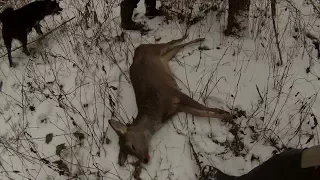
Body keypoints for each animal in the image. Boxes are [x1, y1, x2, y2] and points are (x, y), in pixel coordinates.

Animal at [107, 34, 235, 166]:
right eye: (130, 155)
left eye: (132, 146)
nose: (145, 160)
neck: (156, 111)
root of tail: (137, 49)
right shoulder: (179, 107)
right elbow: (201, 113)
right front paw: (227, 117)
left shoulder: (173, 93)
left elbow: (202, 107)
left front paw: (226, 113)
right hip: (164, 57)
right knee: (177, 47)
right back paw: (197, 39)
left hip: (155, 49)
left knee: (172, 42)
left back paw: (195, 37)